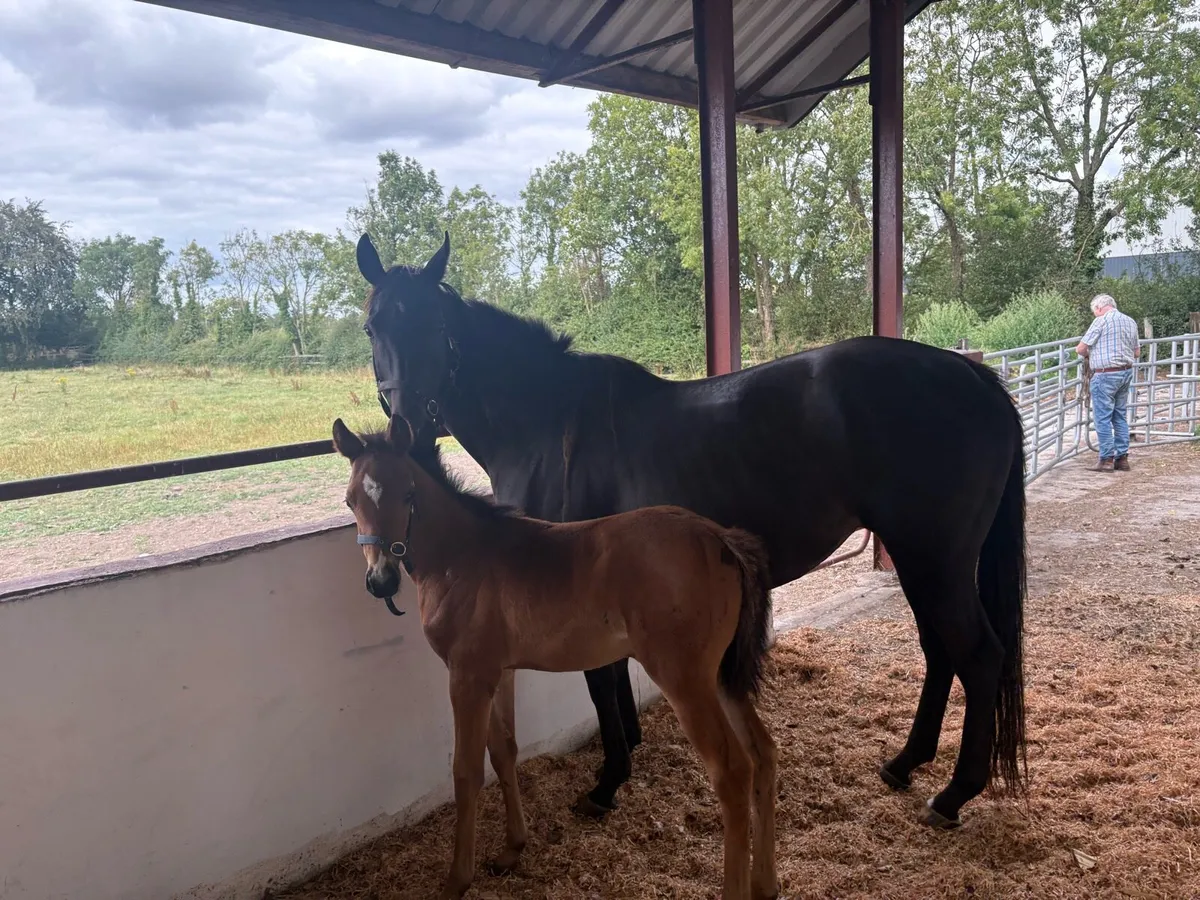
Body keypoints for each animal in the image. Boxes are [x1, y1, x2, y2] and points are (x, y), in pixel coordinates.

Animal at [333, 413, 779, 900]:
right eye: (351, 500)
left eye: (408, 494)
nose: (381, 580)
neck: (463, 557)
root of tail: (721, 537)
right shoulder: (498, 672)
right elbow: (504, 751)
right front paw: (511, 849)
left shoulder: (466, 676)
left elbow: (465, 771)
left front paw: (456, 879)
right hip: (722, 675)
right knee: (763, 753)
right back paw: (765, 883)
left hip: (684, 678)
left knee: (732, 772)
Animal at [356, 231, 1029, 830]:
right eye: (372, 327)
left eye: (436, 327)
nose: (406, 427)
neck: (547, 423)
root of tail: (975, 378)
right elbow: (611, 676)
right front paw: (627, 754)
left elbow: (599, 680)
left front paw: (607, 784)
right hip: (923, 560)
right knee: (941, 651)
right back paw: (904, 764)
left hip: (934, 558)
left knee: (977, 654)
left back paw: (952, 797)